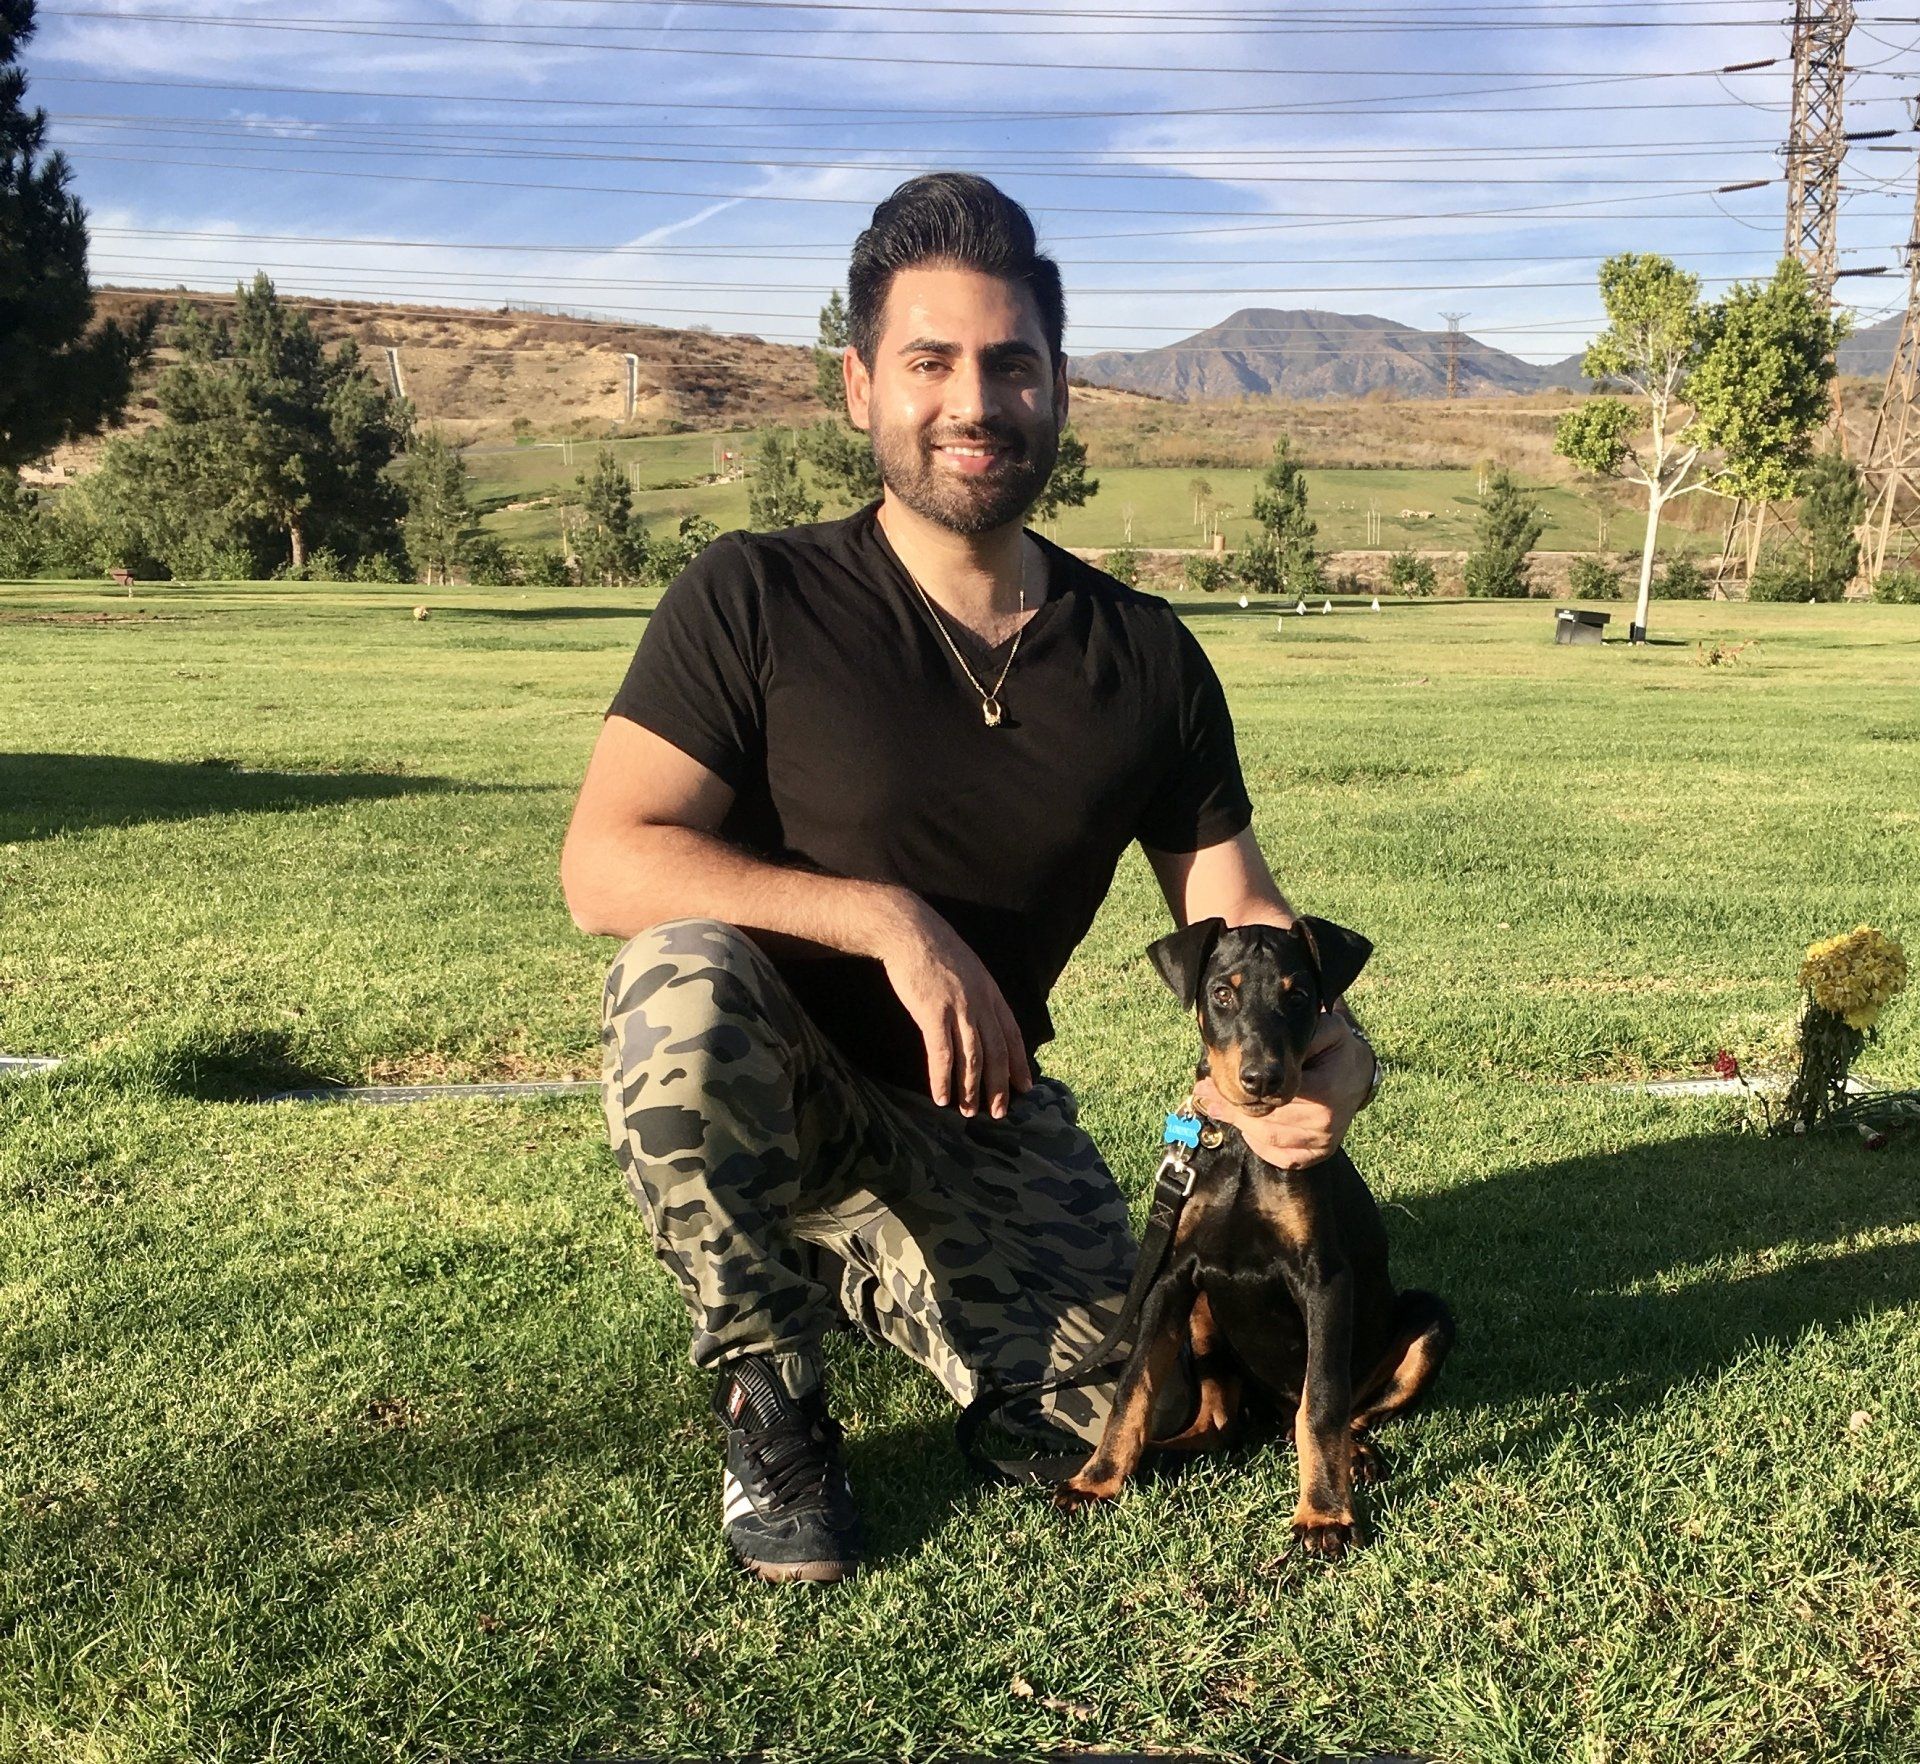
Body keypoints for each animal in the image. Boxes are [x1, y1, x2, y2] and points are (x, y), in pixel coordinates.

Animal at [1052, 925, 1451, 1558]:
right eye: (1222, 993)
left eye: (1298, 996)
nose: (1261, 1079)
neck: (1243, 1143)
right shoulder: (1170, 1277)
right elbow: (1133, 1387)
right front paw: (1096, 1480)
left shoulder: (1324, 1281)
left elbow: (1324, 1401)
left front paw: (1323, 1514)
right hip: (1205, 1315)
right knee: (1219, 1424)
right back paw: (1163, 1454)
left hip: (1430, 1319)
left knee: (1336, 1412)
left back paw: (1352, 1458)